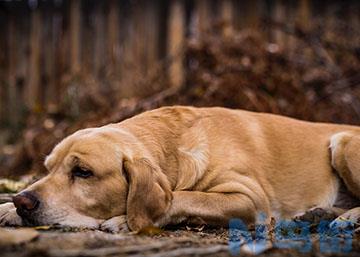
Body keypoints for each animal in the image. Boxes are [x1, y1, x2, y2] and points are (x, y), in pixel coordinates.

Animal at [0, 105, 360, 231]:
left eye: (83, 172)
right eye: (48, 168)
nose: (23, 201)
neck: (174, 148)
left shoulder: (251, 201)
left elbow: (183, 196)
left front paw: (123, 219)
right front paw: (6, 207)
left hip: (343, 142)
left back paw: (344, 219)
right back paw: (319, 214)